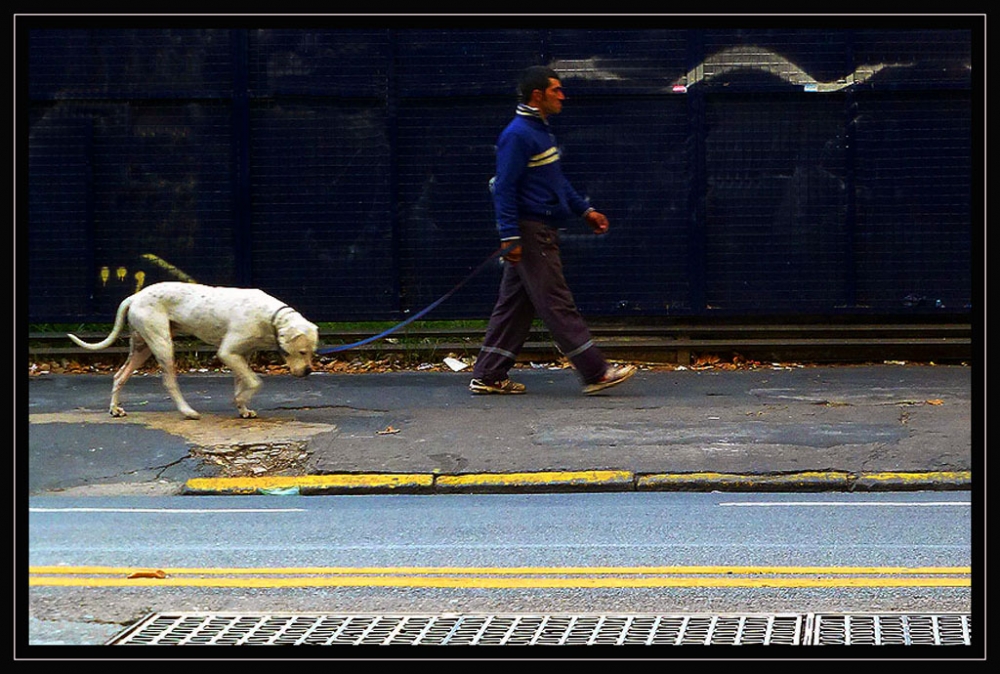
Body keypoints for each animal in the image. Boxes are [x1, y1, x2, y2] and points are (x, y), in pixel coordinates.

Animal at [68, 280, 318, 418]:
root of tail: (135, 296)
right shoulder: (227, 353)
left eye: (312, 352)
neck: (271, 318)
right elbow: (256, 382)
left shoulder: (240, 356)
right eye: (302, 352)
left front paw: (243, 407)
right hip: (162, 344)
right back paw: (187, 411)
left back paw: (115, 409)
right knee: (169, 382)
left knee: (119, 376)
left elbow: (244, 382)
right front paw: (240, 400)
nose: (308, 371)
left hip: (142, 348)